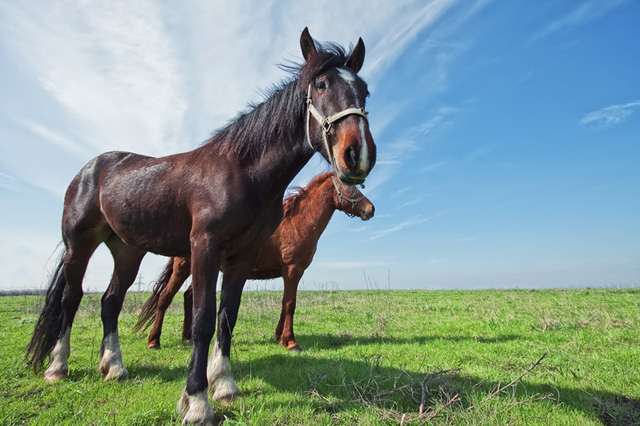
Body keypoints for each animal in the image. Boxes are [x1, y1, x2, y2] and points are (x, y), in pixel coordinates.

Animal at [135, 171, 376, 352]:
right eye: (351, 188)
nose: (370, 209)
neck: (297, 223)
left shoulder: (290, 273)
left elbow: (284, 303)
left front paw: (279, 336)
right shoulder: (293, 270)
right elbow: (290, 304)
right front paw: (291, 342)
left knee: (188, 297)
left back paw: (189, 337)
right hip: (183, 267)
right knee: (165, 297)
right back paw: (154, 341)